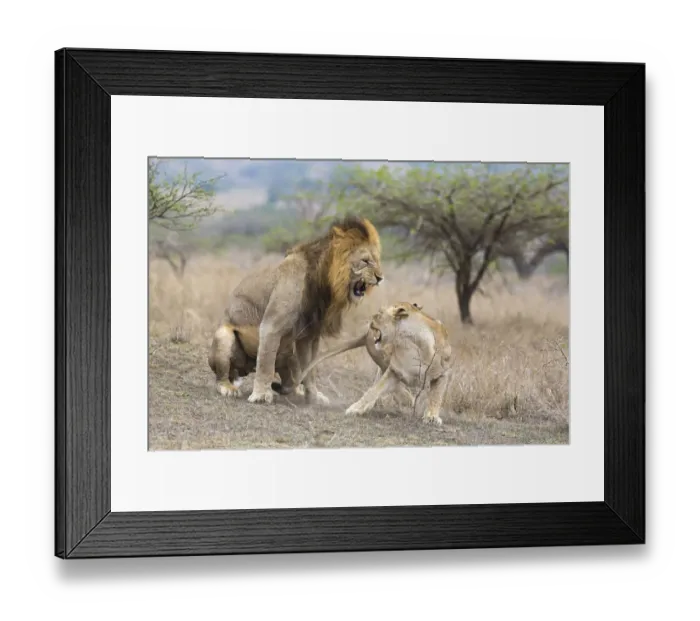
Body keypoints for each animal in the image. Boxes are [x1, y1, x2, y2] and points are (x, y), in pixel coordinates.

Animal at [208, 215, 384, 405]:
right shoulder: (271, 326)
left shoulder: (310, 335)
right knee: (222, 377)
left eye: (377, 260)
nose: (380, 277)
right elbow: (266, 364)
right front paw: (261, 395)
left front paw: (313, 396)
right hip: (224, 338)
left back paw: (296, 392)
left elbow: (310, 368)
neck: (324, 283)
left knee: (290, 377)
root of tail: (245, 369)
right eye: (365, 261)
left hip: (288, 351)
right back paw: (228, 388)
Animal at [297, 302, 452, 425]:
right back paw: (405, 399)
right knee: (385, 383)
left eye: (379, 313)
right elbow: (374, 390)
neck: (414, 344)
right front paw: (356, 408)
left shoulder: (443, 374)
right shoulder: (395, 370)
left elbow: (436, 396)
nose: (370, 321)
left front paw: (432, 417)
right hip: (382, 360)